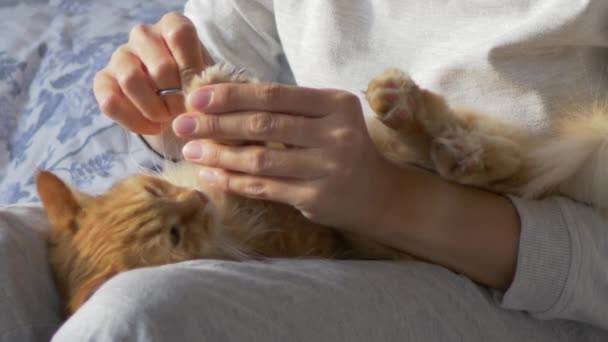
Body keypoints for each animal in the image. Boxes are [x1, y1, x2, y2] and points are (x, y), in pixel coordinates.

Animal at [36, 64, 608, 316]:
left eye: (155, 188)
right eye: (174, 238)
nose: (195, 201)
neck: (222, 216)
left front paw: (210, 86)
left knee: (480, 146)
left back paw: (408, 108)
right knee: (499, 167)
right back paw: (452, 148)